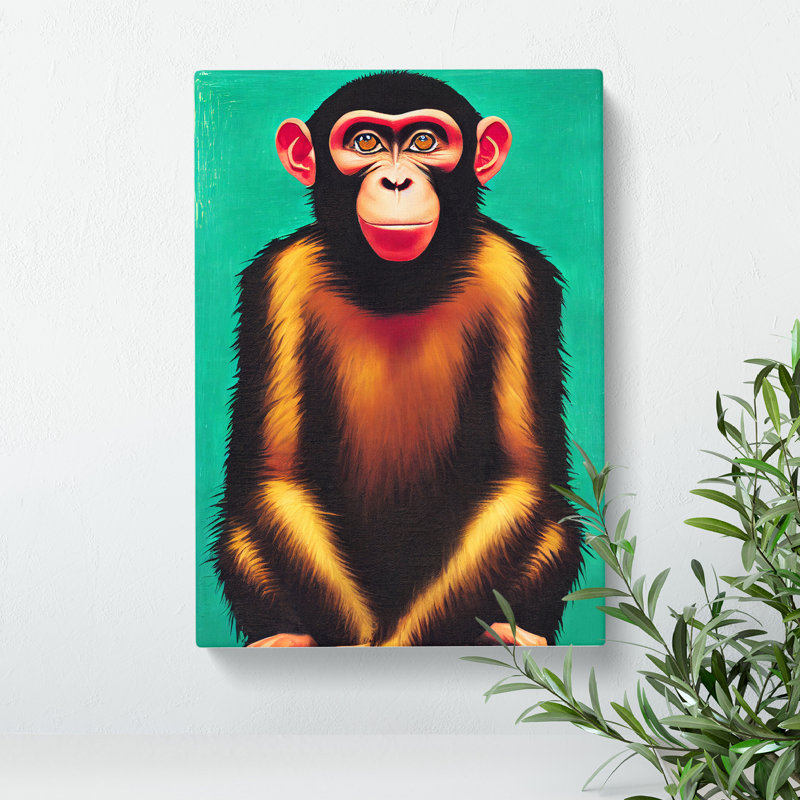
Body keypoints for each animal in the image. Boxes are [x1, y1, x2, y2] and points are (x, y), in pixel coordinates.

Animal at [211, 71, 583, 647]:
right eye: (365, 142)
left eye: (425, 141)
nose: (396, 182)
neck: (396, 284)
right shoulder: (280, 279)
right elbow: (276, 475)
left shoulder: (518, 276)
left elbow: (522, 477)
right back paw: (283, 636)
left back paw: (513, 633)